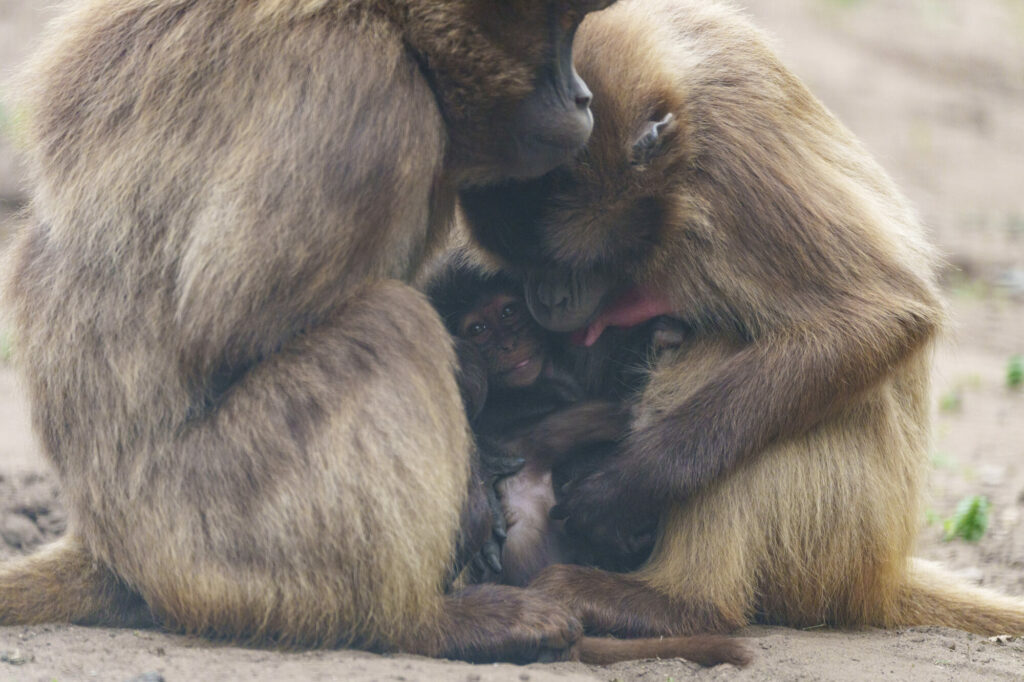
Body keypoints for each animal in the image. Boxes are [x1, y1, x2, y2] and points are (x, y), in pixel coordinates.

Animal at [0, 0, 630, 664]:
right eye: (561, 30)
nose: (583, 99)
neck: (388, 22)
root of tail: (107, 545)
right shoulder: (367, 102)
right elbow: (224, 337)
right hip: (209, 538)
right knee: (388, 324)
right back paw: (423, 623)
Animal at [459, 0, 1024, 639]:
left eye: (562, 263)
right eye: (522, 267)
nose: (546, 299)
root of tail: (880, 572)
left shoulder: (732, 151)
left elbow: (881, 314)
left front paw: (623, 488)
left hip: (844, 532)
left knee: (719, 352)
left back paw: (680, 605)